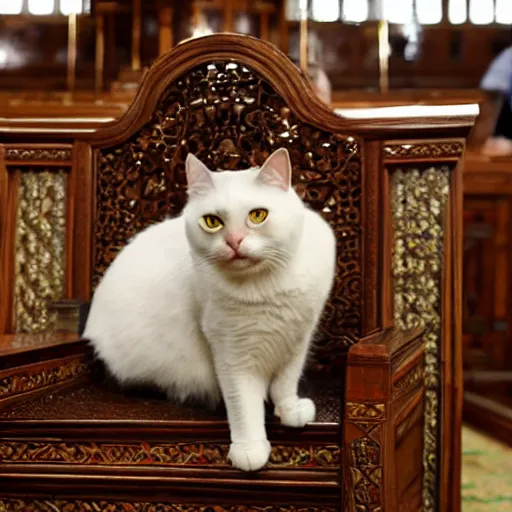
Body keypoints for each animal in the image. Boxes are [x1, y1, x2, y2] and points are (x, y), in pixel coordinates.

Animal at [84, 148, 336, 472]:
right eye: (212, 221)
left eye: (258, 215)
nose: (234, 242)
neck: (266, 285)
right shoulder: (232, 354)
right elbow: (244, 406)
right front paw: (250, 449)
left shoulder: (296, 340)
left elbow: (285, 383)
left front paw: (290, 409)